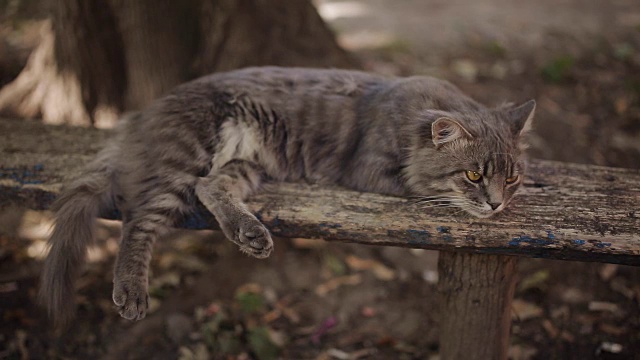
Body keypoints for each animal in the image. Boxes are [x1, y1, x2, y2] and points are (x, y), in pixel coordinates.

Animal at [40, 67, 536, 326]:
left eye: (511, 178)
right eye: (473, 175)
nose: (497, 203)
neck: (416, 121)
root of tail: (141, 117)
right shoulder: (369, 169)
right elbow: (422, 188)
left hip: (246, 163)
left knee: (210, 187)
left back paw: (250, 235)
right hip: (187, 154)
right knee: (139, 218)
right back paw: (131, 290)